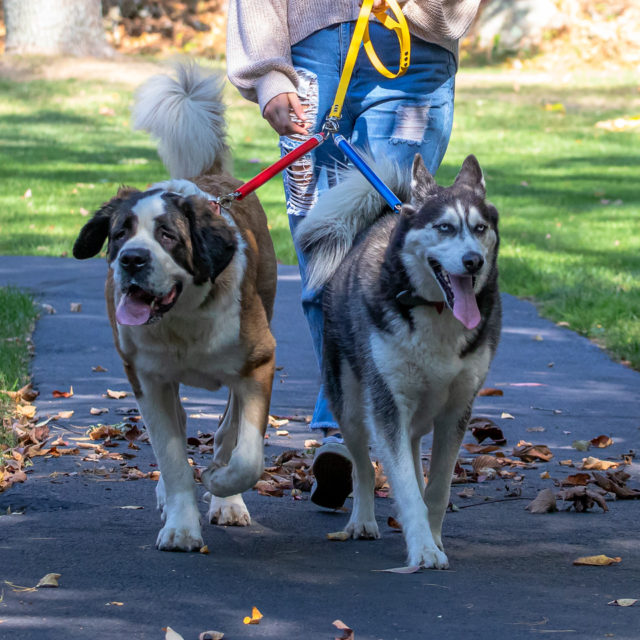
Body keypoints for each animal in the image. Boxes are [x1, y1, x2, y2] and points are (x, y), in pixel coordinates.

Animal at [73, 63, 278, 552]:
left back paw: (227, 497)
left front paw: (222, 484)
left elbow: (245, 453)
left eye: (167, 235)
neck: (184, 316)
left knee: (227, 430)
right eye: (120, 233)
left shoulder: (257, 363)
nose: (132, 259)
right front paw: (182, 526)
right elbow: (171, 455)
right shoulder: (147, 379)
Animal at [296, 154, 500, 564]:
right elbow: (402, 483)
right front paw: (422, 548)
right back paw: (362, 520)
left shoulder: (458, 409)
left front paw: (432, 538)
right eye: (444, 227)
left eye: (479, 228)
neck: (436, 310)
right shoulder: (388, 404)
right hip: (352, 406)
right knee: (362, 467)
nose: (473, 260)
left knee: (413, 449)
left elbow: (438, 488)